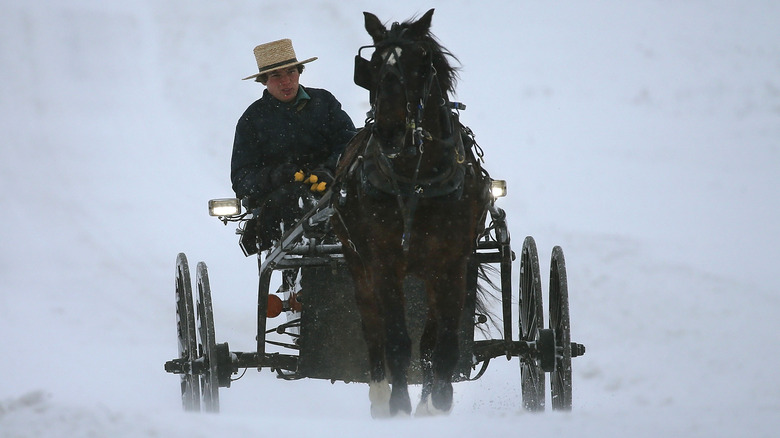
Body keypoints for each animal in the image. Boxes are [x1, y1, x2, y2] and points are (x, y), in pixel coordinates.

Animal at [330, 8, 490, 416]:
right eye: (372, 65)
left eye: (421, 64)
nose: (388, 131)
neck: (417, 180)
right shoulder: (384, 262)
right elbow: (397, 340)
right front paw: (399, 406)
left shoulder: (452, 263)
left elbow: (443, 342)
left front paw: (437, 401)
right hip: (358, 262)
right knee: (373, 326)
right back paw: (379, 394)